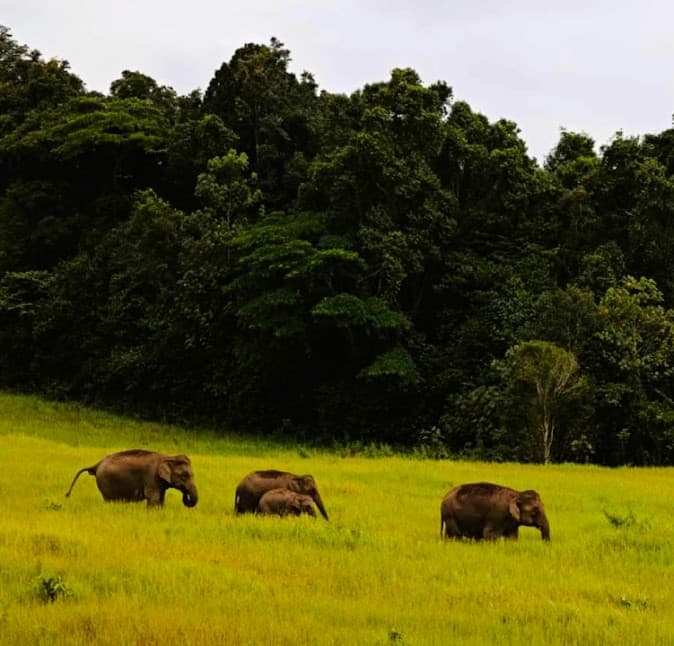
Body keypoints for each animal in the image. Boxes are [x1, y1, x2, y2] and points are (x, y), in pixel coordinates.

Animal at [65, 449, 198, 508]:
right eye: (184, 476)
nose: (185, 494)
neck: (167, 457)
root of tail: (97, 464)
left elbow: (160, 499)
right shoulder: (151, 477)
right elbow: (153, 499)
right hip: (105, 482)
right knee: (109, 500)